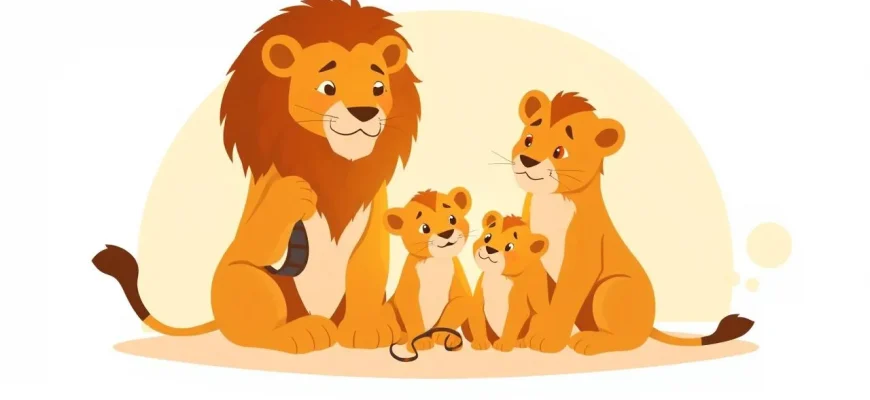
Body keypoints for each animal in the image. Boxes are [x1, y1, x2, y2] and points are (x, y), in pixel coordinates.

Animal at [91, 0, 422, 354]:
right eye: (327, 87)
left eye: (379, 88)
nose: (365, 112)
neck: (334, 161)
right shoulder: (263, 201)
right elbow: (259, 240)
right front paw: (293, 195)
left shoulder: (373, 215)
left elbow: (367, 272)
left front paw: (368, 330)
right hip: (246, 279)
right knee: (254, 327)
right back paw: (300, 332)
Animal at [383, 188, 491, 354]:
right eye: (424, 228)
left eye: (452, 218)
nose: (446, 233)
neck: (436, 263)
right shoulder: (407, 293)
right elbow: (412, 315)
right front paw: (420, 343)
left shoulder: (461, 293)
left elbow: (453, 310)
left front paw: (442, 336)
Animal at [469, 211, 550, 352]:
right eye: (487, 237)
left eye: (509, 246)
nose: (490, 249)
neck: (498, 276)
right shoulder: (479, 293)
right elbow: (477, 317)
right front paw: (480, 343)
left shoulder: (518, 304)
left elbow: (511, 324)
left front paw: (504, 344)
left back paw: (526, 341)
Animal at [509, 89, 754, 355]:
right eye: (529, 139)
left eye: (559, 151)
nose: (528, 160)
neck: (550, 201)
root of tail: (650, 324)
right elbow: (543, 300)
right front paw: (529, 337)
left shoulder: (582, 257)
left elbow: (565, 299)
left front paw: (549, 340)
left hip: (611, 288)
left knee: (630, 339)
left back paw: (590, 342)